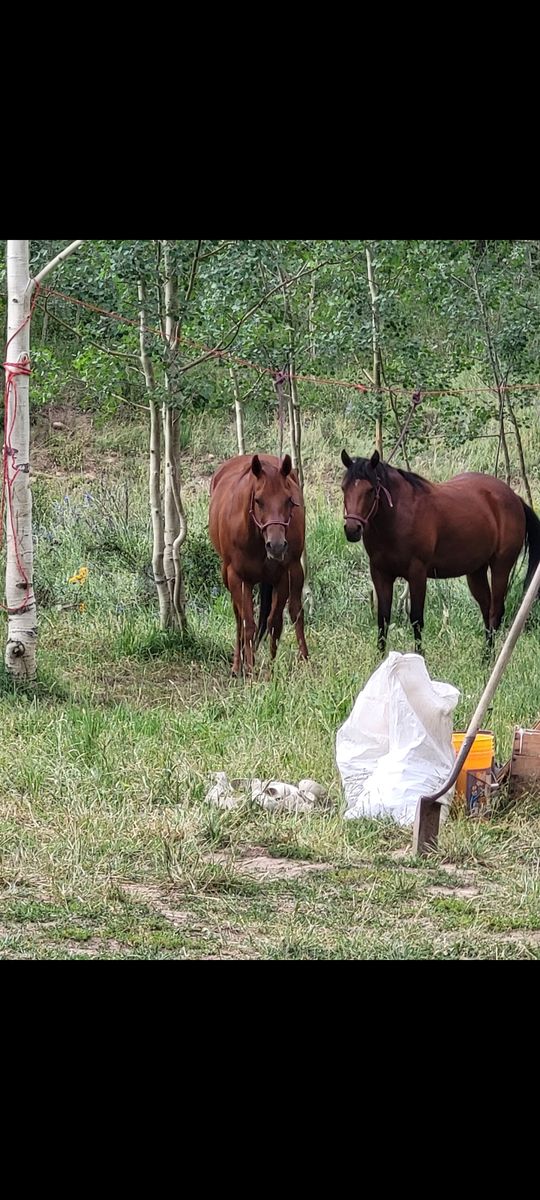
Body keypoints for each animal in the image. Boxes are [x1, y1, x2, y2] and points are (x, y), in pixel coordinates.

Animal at [209, 452, 308, 675]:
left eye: (288, 500)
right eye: (258, 500)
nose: (277, 546)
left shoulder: (284, 575)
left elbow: (274, 622)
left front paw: (271, 666)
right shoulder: (238, 578)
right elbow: (248, 624)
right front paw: (250, 669)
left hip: (294, 574)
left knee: (295, 612)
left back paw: (304, 659)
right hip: (229, 577)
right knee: (239, 618)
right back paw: (237, 665)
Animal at [340, 448, 540, 655]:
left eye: (371, 490)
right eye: (344, 488)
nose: (352, 529)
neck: (398, 517)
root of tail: (515, 498)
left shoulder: (417, 573)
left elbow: (416, 619)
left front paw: (419, 655)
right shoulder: (380, 573)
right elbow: (383, 619)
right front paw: (380, 657)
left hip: (501, 567)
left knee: (495, 612)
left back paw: (488, 657)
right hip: (476, 571)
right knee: (486, 609)